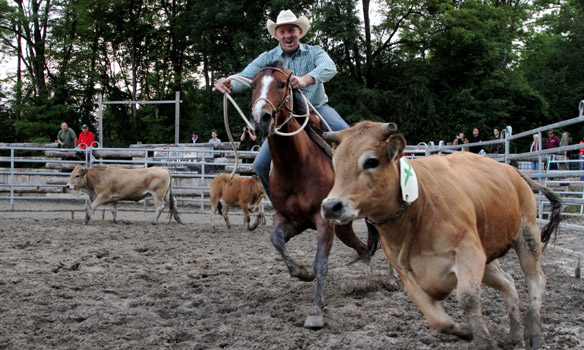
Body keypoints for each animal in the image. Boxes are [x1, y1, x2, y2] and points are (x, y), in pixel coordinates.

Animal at [250, 60, 378, 328]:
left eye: (282, 84)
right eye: (253, 85)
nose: (260, 119)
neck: (297, 165)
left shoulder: (323, 220)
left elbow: (321, 262)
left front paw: (316, 311)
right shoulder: (289, 219)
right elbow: (276, 240)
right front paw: (302, 273)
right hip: (343, 228)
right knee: (363, 250)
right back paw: (368, 282)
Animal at [320, 122, 560, 350]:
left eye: (371, 161)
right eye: (335, 163)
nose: (331, 206)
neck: (417, 208)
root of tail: (510, 169)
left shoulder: (468, 251)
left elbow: (468, 297)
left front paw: (484, 341)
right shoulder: (406, 272)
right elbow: (437, 320)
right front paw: (466, 331)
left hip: (527, 235)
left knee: (536, 280)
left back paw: (533, 333)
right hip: (488, 259)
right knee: (509, 283)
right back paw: (514, 334)